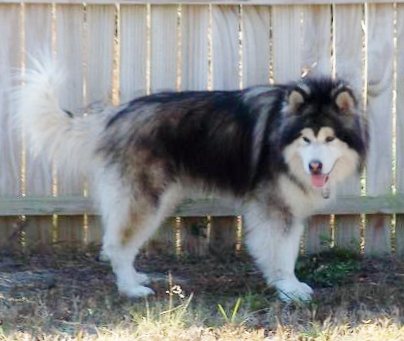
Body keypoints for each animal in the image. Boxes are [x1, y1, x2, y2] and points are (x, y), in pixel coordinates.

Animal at [12, 58, 368, 300]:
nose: (316, 167)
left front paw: (284, 284)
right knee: (116, 245)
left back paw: (136, 278)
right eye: (306, 139)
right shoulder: (275, 207)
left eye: (329, 139)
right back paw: (130, 289)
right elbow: (282, 251)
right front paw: (288, 287)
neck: (282, 136)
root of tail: (116, 115)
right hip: (145, 199)